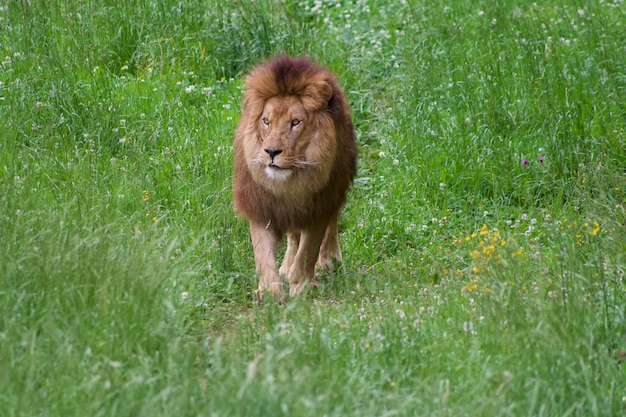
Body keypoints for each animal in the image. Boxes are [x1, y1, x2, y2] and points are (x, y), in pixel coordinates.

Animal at [232, 57, 356, 300]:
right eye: (266, 121)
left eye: (295, 122)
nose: (271, 151)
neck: (289, 183)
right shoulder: (260, 206)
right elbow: (263, 255)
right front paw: (270, 293)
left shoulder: (318, 207)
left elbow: (308, 251)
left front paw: (301, 287)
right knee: (292, 236)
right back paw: (286, 266)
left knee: (331, 224)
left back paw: (331, 260)